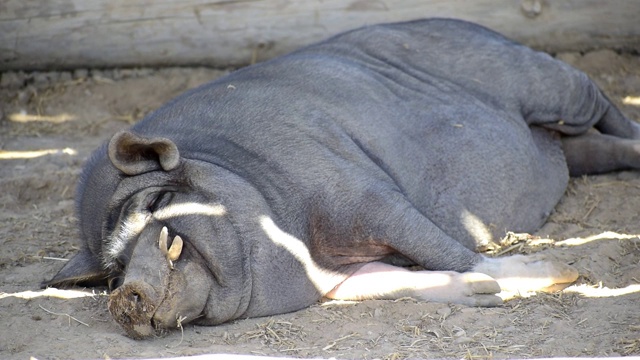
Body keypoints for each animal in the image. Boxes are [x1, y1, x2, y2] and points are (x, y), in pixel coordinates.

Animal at [43, 19, 640, 340]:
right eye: (114, 268)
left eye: (158, 203)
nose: (126, 295)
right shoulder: (336, 278)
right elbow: (392, 279)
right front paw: (484, 293)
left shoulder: (358, 191)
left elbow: (438, 245)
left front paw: (558, 272)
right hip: (569, 141)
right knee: (602, 148)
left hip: (551, 82)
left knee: (607, 108)